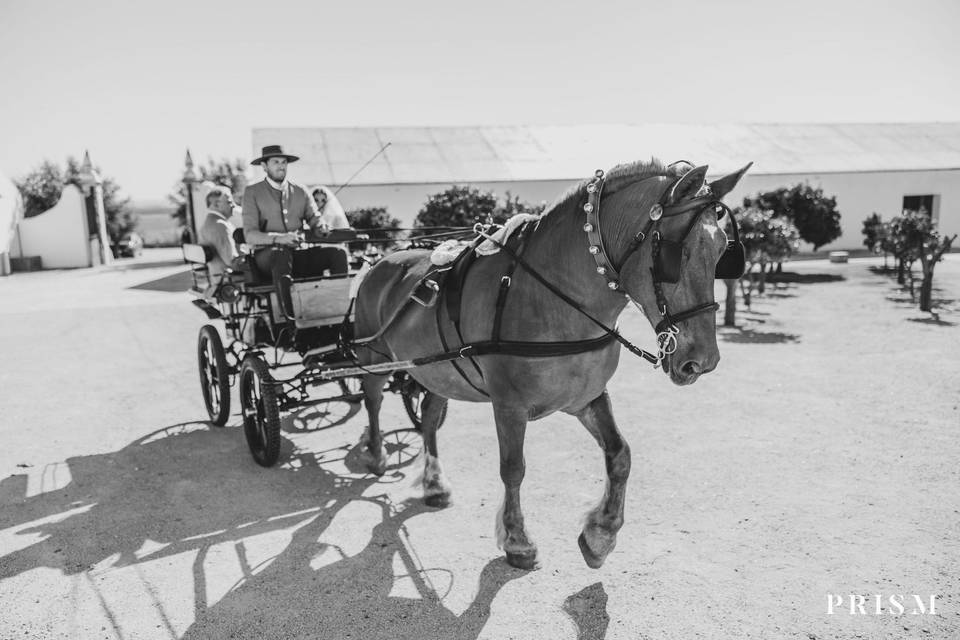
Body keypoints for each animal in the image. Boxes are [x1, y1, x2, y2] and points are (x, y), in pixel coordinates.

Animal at [350, 160, 752, 568]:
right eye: (672, 252)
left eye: (724, 252)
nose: (703, 361)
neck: (551, 295)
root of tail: (378, 262)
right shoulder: (508, 405)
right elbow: (513, 468)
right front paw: (517, 539)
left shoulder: (586, 397)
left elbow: (620, 455)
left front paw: (601, 534)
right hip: (375, 358)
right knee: (373, 399)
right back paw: (377, 453)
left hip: (437, 369)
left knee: (430, 415)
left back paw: (433, 483)